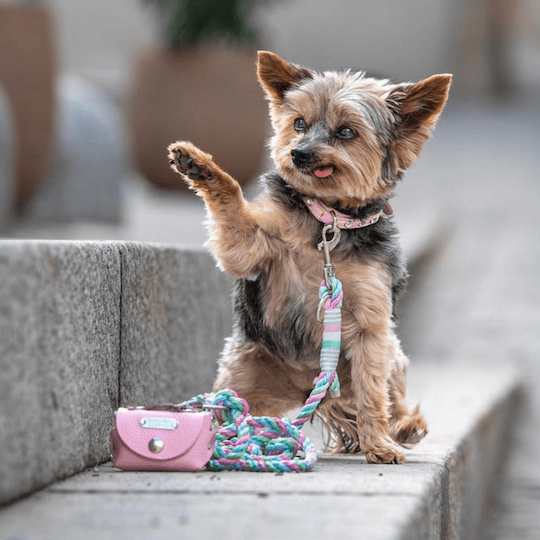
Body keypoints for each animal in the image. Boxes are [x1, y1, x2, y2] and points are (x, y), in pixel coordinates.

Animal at [168, 51, 452, 464]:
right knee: (228, 408)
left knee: (386, 391)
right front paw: (200, 166)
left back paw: (404, 425)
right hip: (240, 375)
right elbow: (233, 202)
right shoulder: (252, 245)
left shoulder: (371, 324)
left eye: (346, 132)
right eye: (299, 123)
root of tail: (309, 391)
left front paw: (380, 444)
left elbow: (372, 391)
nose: (298, 153)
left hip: (392, 354)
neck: (328, 220)